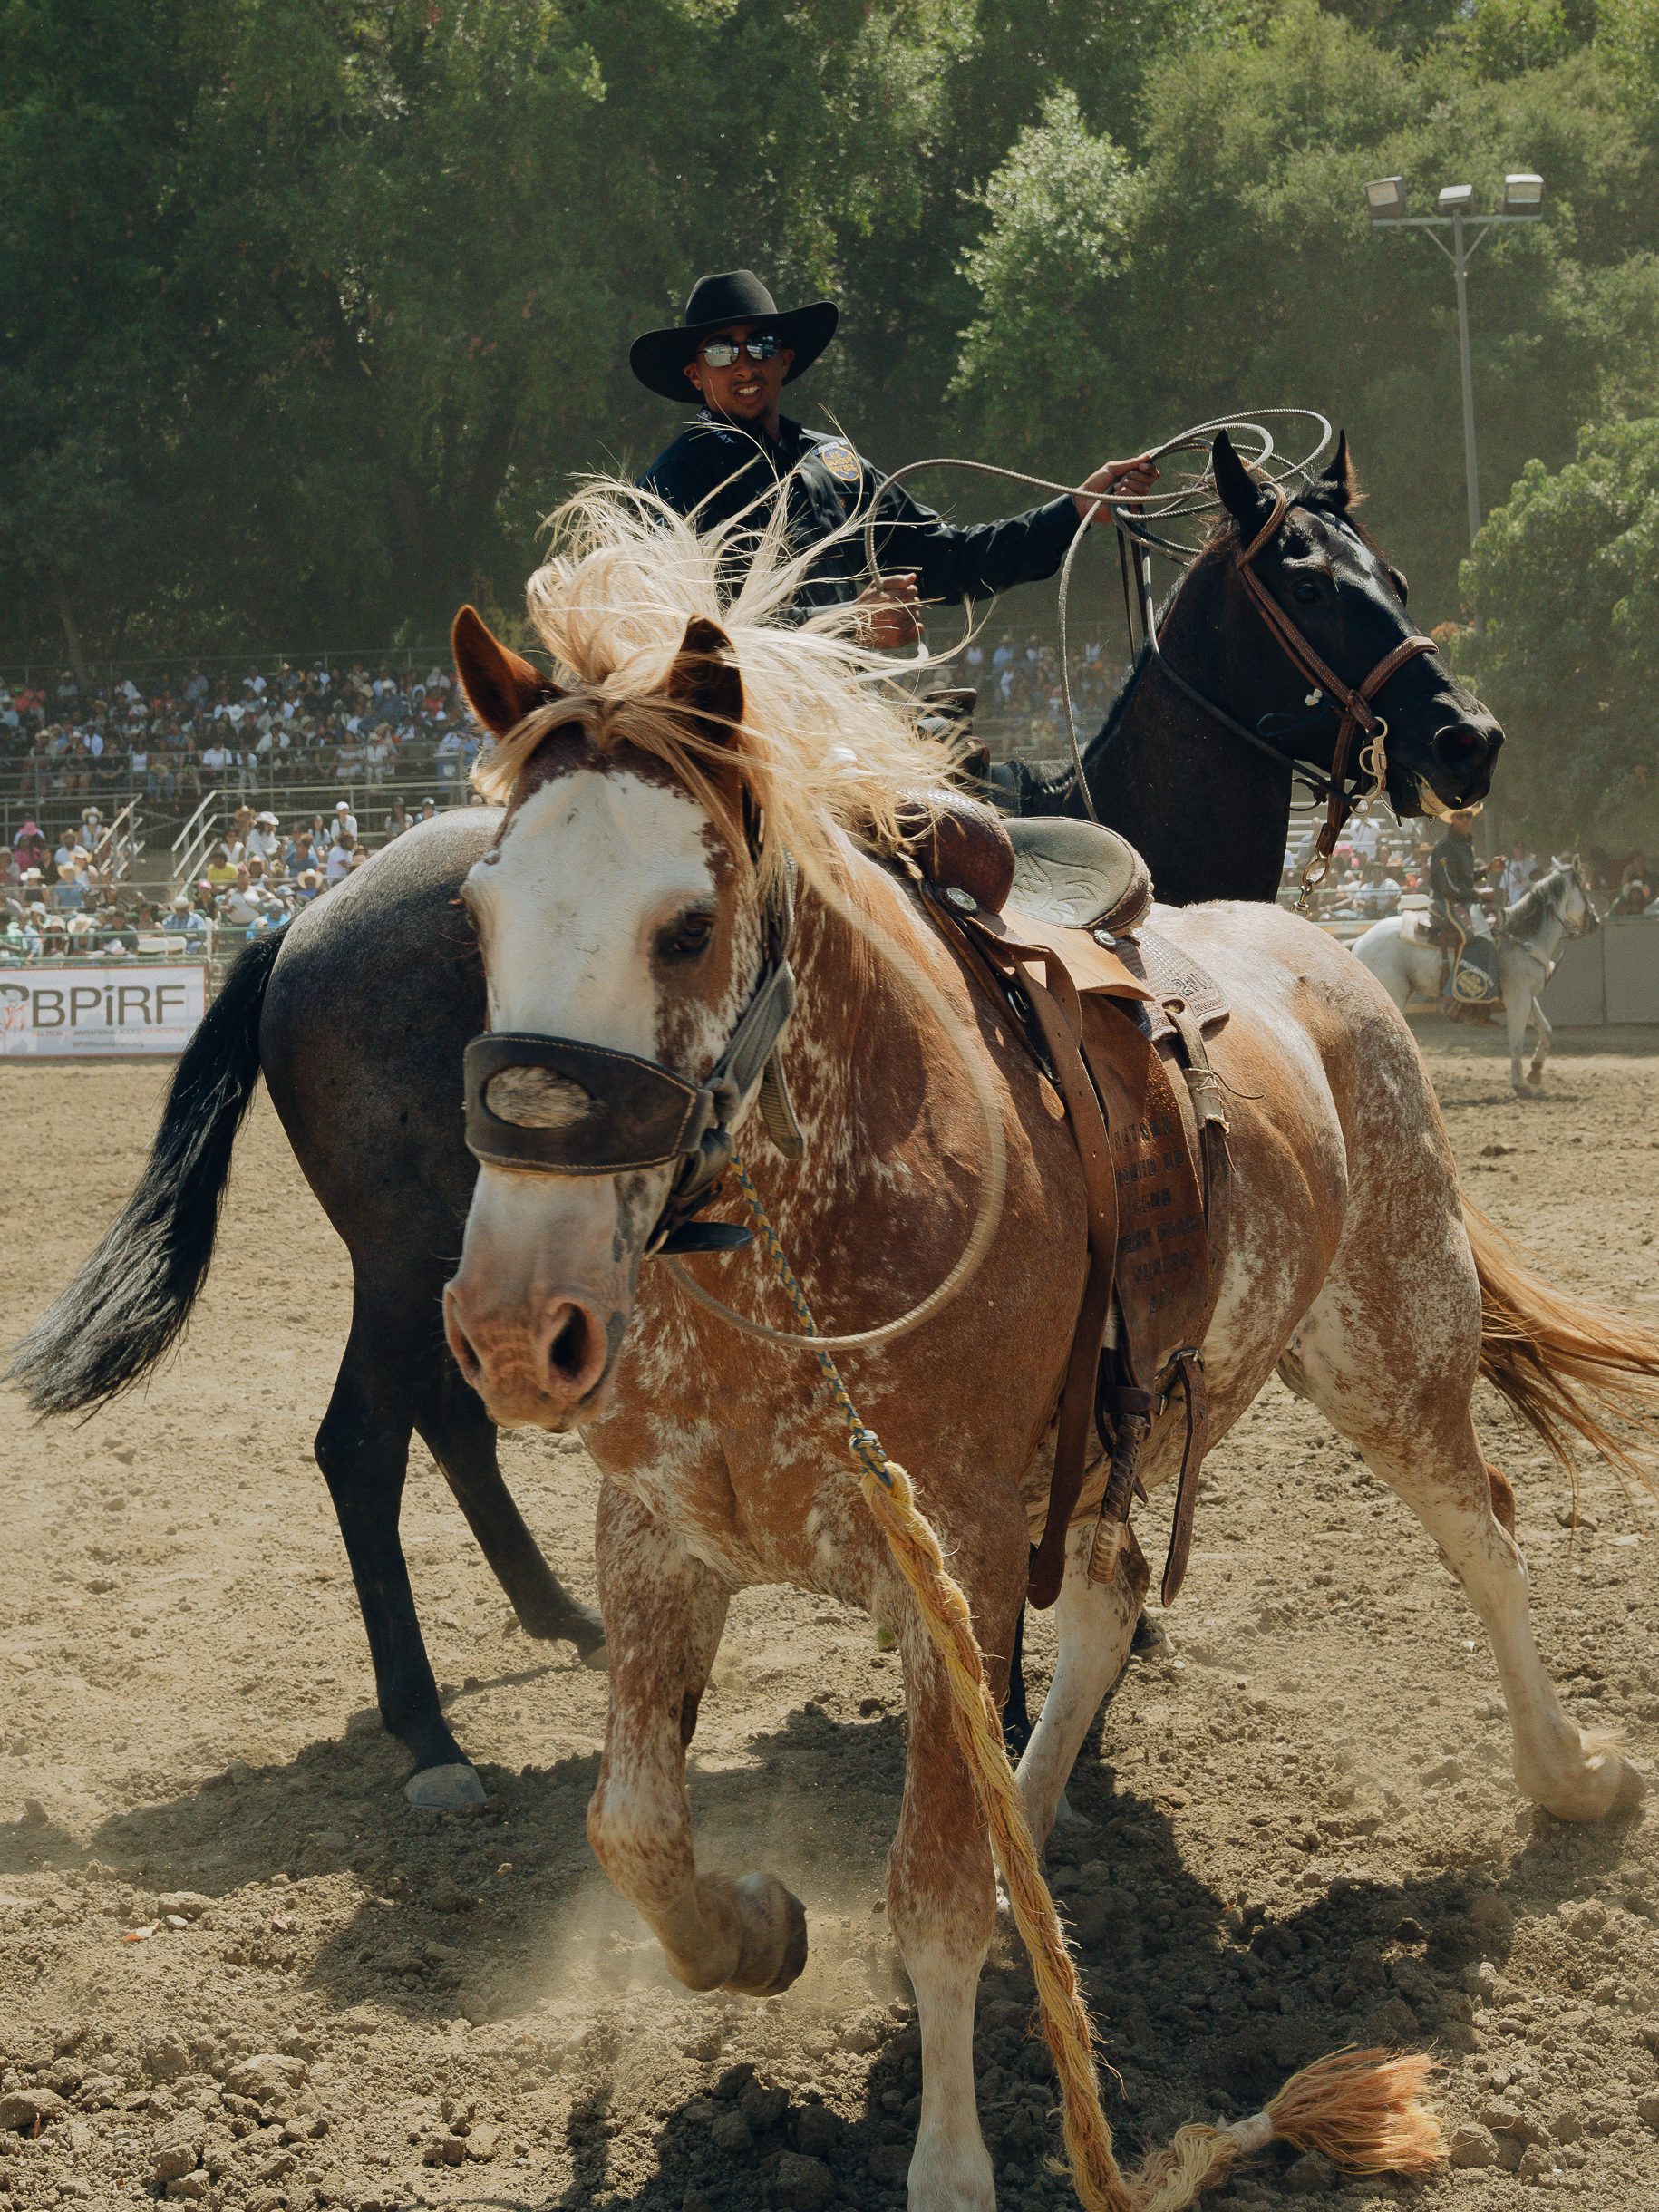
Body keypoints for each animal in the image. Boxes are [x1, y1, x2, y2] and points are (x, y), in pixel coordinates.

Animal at [3, 431, 1504, 1796]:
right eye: (1312, 585)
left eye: (1392, 572)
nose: (1467, 739)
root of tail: (295, 923)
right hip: (410, 1254)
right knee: (363, 1447)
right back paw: (430, 1738)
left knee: (453, 1423)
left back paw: (559, 1616)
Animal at [1353, 853, 1601, 1097]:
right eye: (1585, 888)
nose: (1596, 922)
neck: (1522, 936)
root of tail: (1359, 943)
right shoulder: (1517, 997)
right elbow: (1516, 1041)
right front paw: (1520, 1084)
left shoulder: (1527, 996)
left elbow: (1546, 1029)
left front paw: (1536, 1071)